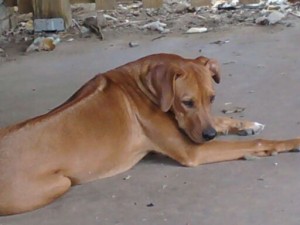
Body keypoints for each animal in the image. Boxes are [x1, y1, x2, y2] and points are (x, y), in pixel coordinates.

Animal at [0, 53, 300, 215]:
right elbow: (258, 142)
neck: (143, 86)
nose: (209, 136)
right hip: (60, 183)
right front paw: (288, 142)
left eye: (212, 98)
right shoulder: (192, 149)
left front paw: (246, 123)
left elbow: (222, 120)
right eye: (187, 102)